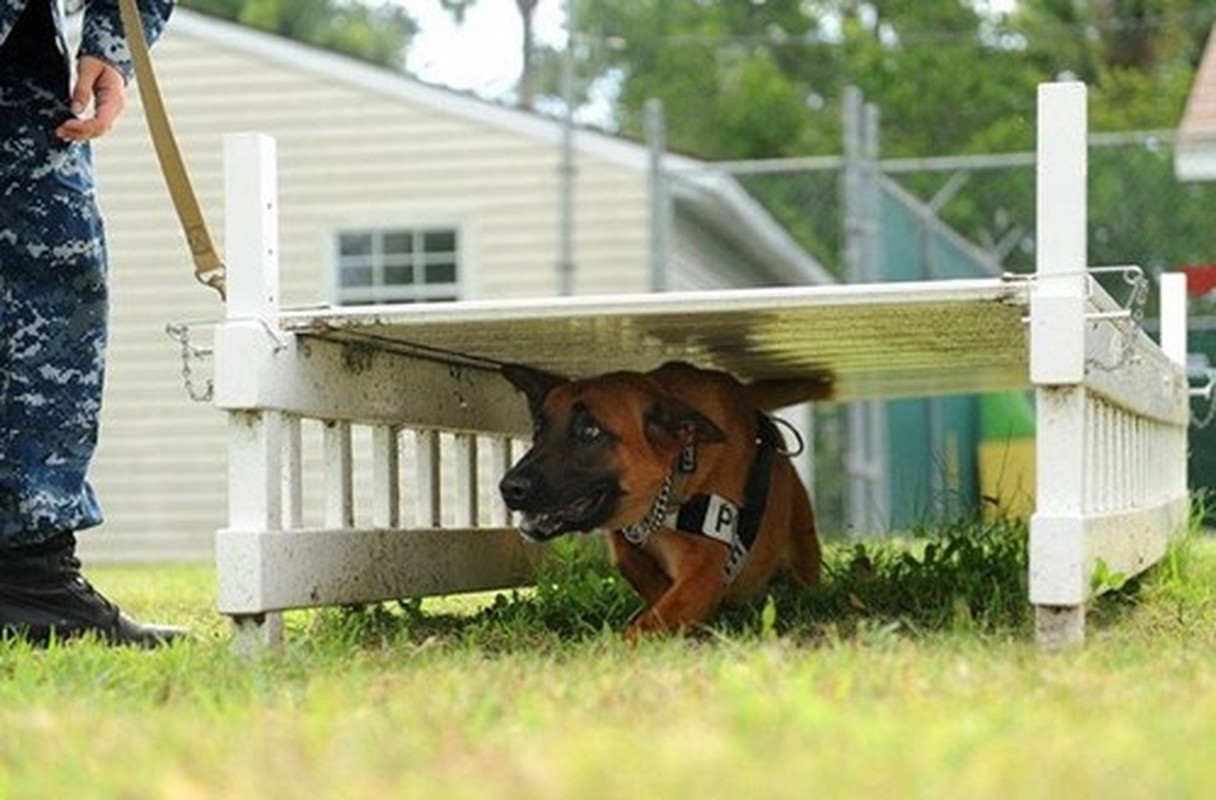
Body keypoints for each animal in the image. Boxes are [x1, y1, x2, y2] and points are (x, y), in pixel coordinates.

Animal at [496, 362, 826, 637]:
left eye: (591, 431)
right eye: (540, 429)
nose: (509, 488)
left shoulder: (706, 569)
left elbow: (652, 621)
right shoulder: (626, 541)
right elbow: (636, 567)